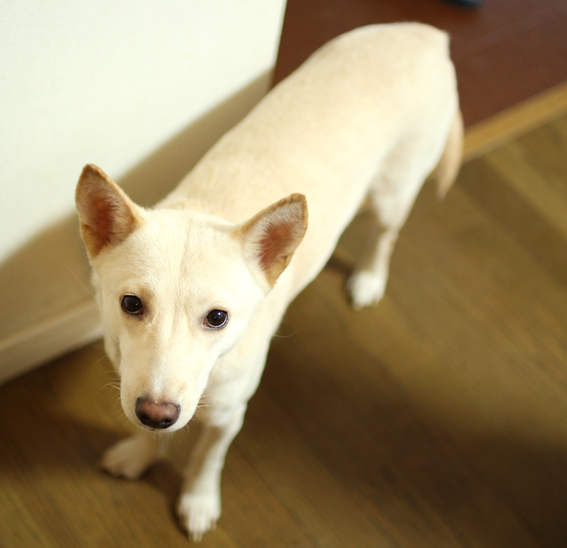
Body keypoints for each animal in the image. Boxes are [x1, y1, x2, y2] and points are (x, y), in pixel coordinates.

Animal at [75, 23, 462, 541]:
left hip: (394, 193)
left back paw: (368, 278)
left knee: (385, 234)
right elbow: (151, 431)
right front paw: (140, 454)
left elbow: (207, 458)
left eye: (218, 318)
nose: (158, 411)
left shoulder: (228, 415)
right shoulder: (136, 382)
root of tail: (427, 34)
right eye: (131, 304)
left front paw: (198, 501)